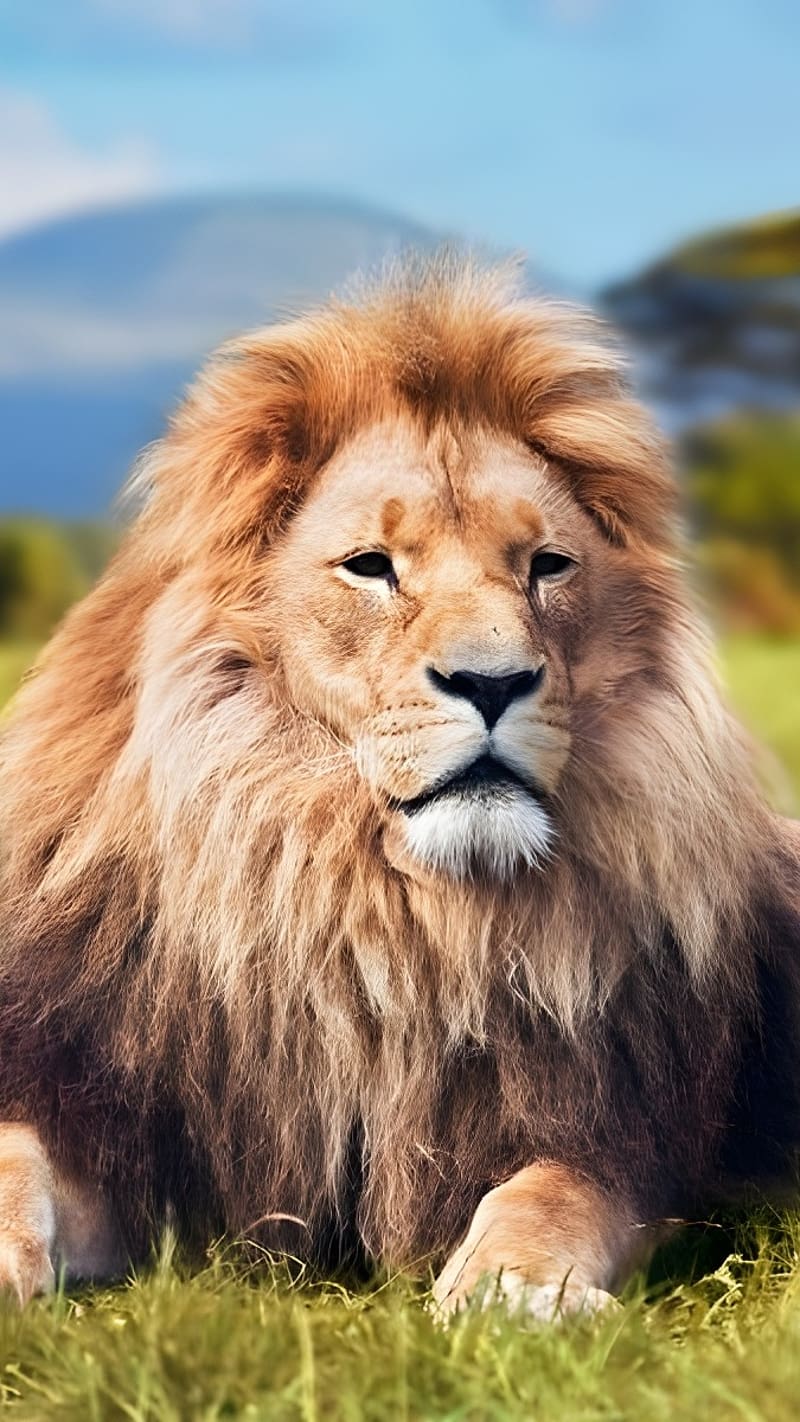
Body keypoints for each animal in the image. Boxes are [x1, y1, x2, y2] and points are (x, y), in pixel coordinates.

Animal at [0, 256, 798, 1316]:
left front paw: (512, 1293)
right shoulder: (126, 1116)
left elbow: (550, 1195)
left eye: (548, 566)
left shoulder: (625, 1140)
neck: (377, 912)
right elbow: (16, 1160)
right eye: (371, 567)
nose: (493, 682)